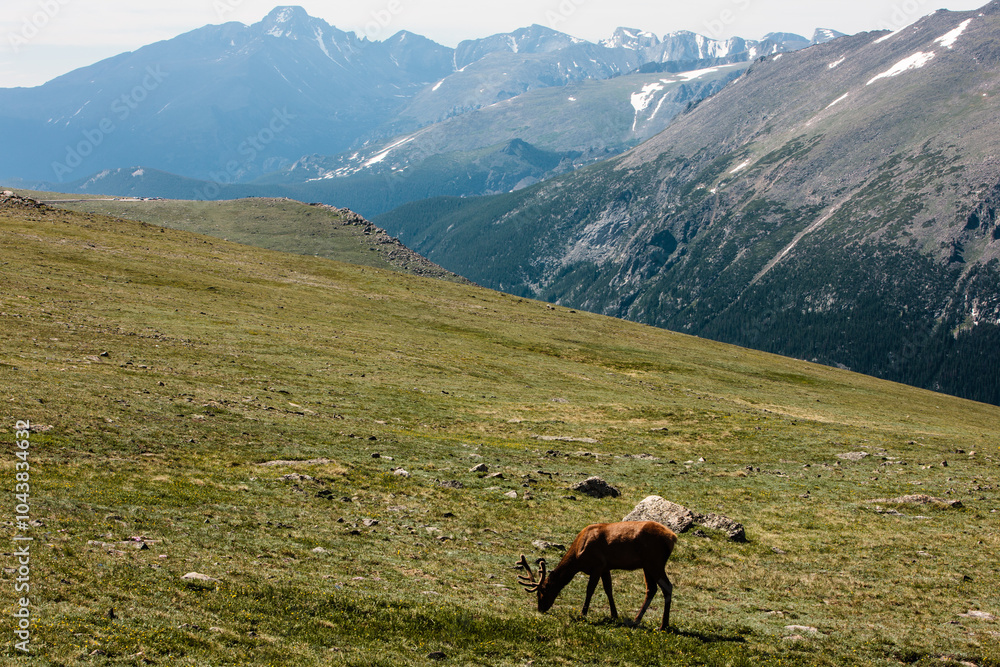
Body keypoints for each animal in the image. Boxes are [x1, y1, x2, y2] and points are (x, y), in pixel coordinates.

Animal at [515, 520, 677, 630]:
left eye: (542, 591)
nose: (540, 609)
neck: (578, 557)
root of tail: (673, 538)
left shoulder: (598, 565)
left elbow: (590, 589)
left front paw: (583, 614)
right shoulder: (606, 567)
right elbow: (608, 589)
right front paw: (614, 615)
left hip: (654, 561)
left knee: (667, 586)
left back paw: (663, 625)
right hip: (647, 565)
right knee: (652, 589)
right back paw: (637, 620)